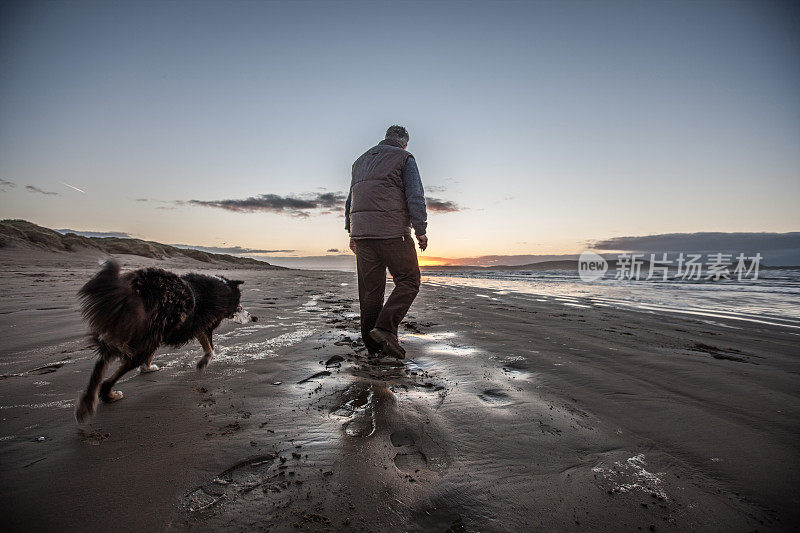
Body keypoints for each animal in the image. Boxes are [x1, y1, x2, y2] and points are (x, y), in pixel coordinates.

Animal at [74, 260, 256, 422]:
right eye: (240, 306)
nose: (255, 318)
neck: (225, 288)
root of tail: (138, 288)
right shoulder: (203, 325)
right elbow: (210, 347)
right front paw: (203, 363)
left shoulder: (183, 328)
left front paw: (147, 368)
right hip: (144, 334)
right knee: (113, 373)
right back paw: (109, 395)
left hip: (132, 329)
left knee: (101, 364)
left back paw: (88, 403)